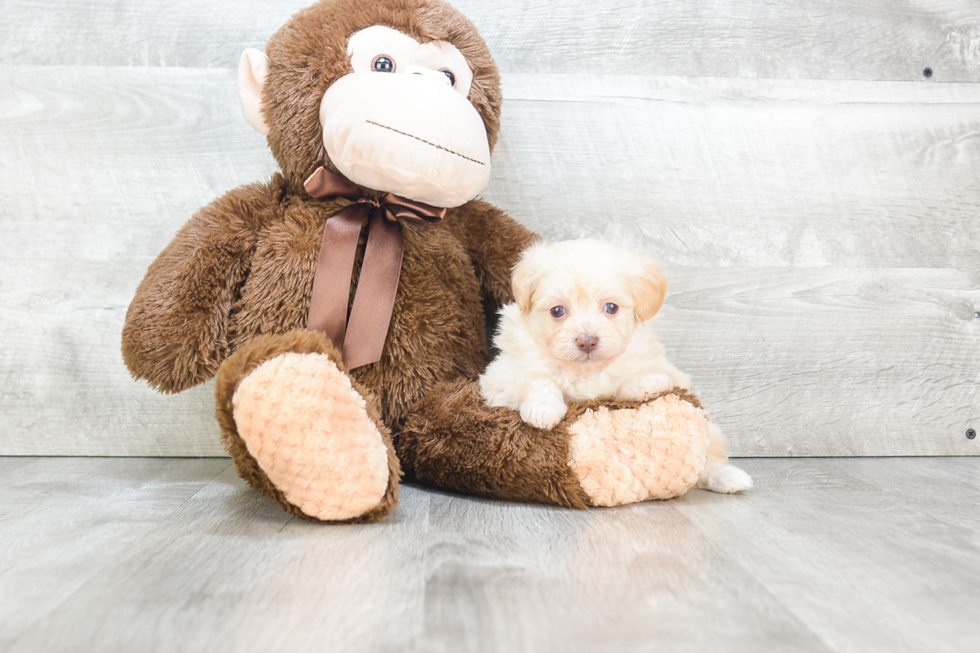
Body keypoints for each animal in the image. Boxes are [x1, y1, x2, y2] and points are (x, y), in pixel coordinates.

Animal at [480, 241, 752, 494]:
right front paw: (544, 409)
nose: (587, 341)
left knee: (710, 456)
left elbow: (625, 385)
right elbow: (537, 378)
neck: (586, 371)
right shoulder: (500, 376)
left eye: (611, 308)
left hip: (710, 433)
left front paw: (650, 384)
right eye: (557, 311)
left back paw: (729, 477)